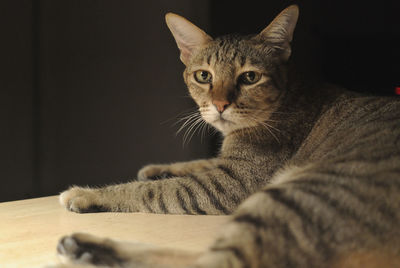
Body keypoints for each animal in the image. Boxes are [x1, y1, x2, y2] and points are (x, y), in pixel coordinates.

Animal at [54, 4, 400, 268]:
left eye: (250, 77)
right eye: (203, 75)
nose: (221, 104)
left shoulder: (232, 181)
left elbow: (152, 191)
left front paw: (88, 194)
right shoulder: (224, 164)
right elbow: (195, 163)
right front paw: (156, 169)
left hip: (294, 196)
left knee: (218, 263)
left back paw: (90, 247)